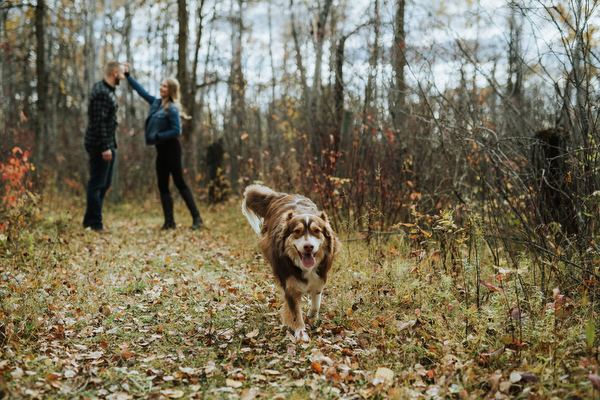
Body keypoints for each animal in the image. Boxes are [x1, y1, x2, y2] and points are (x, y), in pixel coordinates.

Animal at [241, 184, 340, 340]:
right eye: (297, 231)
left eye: (316, 231)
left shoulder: (320, 276)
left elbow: (316, 301)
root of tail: (281, 195)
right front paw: (301, 334)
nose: (308, 246)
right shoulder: (289, 285)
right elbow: (295, 312)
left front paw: (312, 316)